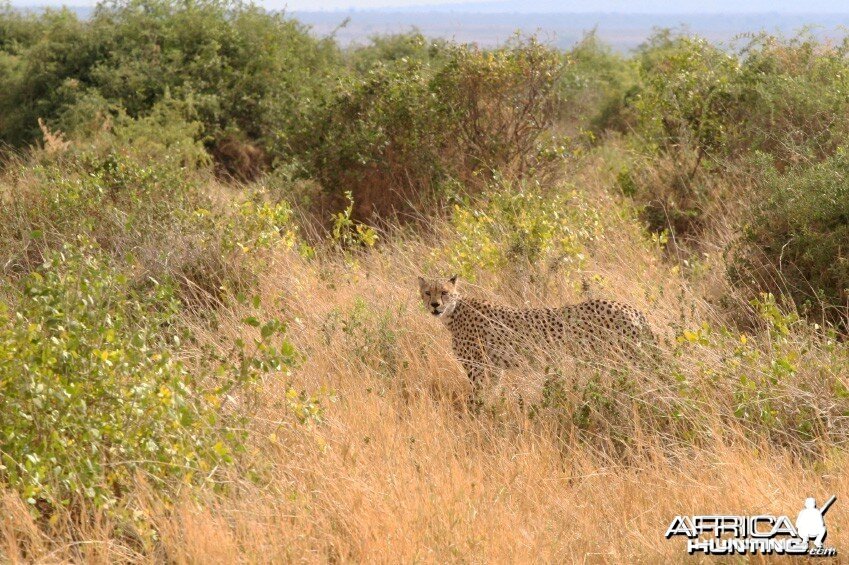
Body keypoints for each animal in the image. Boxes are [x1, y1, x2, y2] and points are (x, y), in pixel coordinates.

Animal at [418, 276, 656, 398]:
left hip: (621, 360)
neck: (454, 312)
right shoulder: (494, 369)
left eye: (444, 292)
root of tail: (630, 307)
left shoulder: (479, 368)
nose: (434, 305)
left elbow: (478, 396)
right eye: (428, 292)